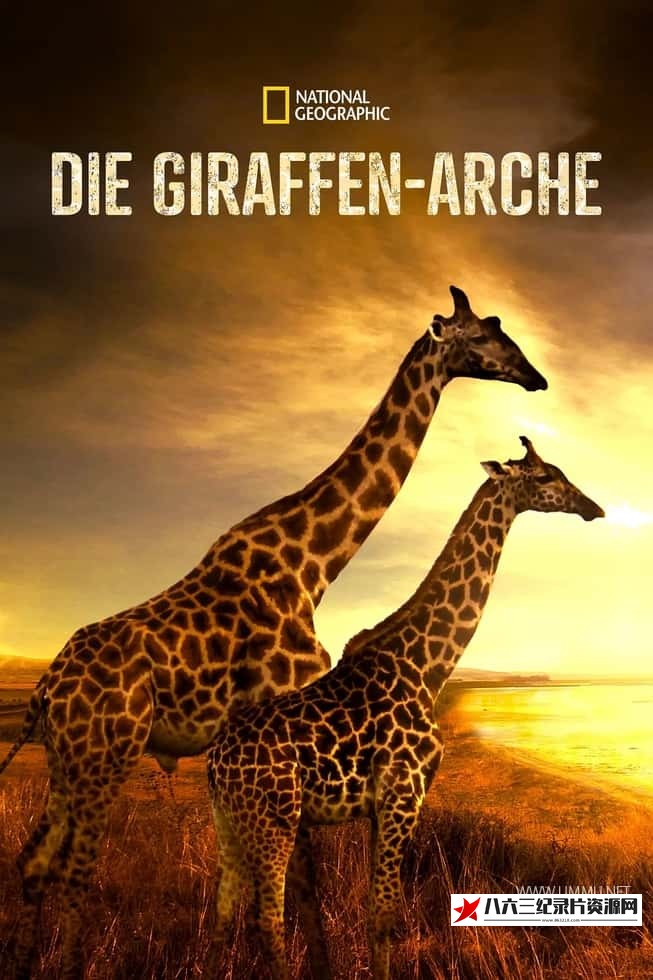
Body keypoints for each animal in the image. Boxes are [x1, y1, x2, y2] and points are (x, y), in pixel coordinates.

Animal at [0, 286, 546, 980]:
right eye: (485, 335)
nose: (536, 377)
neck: (314, 561)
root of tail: (47, 689)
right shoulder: (287, 712)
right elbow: (303, 885)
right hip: (106, 755)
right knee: (75, 874)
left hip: (66, 762)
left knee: (36, 864)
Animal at [206, 436, 604, 980]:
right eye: (545, 477)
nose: (593, 508)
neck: (429, 666)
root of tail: (214, 761)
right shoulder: (402, 795)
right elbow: (384, 913)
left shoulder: (381, 807)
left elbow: (380, 909)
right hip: (274, 821)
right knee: (266, 920)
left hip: (231, 822)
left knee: (224, 913)